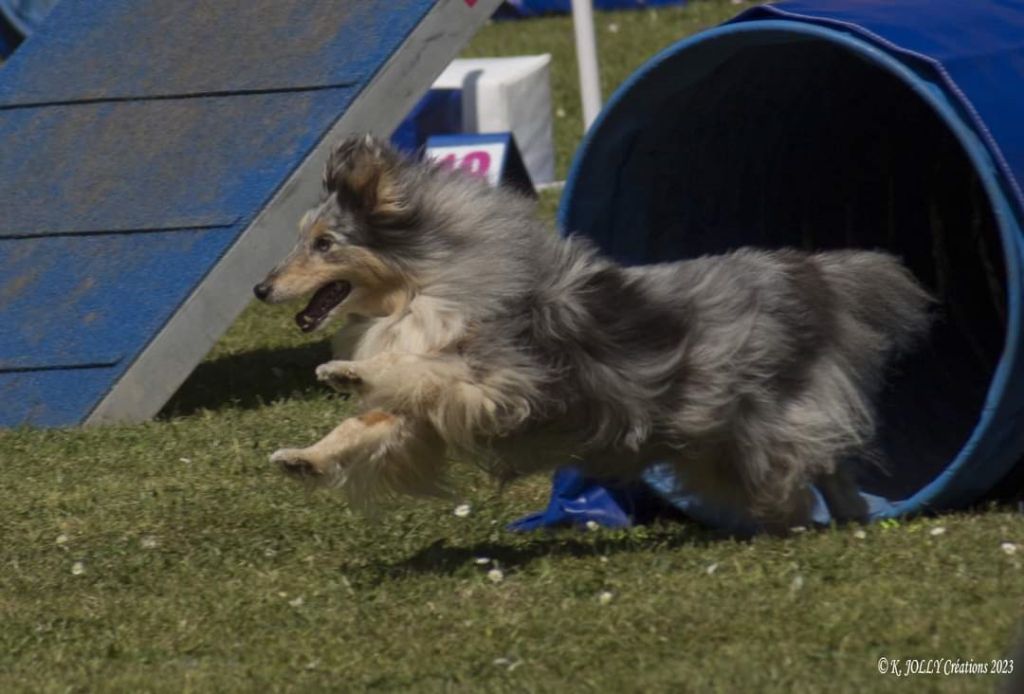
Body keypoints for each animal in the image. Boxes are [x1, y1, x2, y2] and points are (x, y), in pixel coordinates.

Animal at [251, 133, 933, 528]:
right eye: (302, 239)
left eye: (324, 244)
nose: (260, 289)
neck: (426, 287)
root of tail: (810, 274)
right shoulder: (421, 416)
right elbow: (362, 426)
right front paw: (303, 458)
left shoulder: (502, 376)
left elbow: (422, 366)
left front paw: (347, 370)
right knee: (826, 465)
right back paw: (851, 519)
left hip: (762, 419)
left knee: (808, 462)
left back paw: (805, 522)